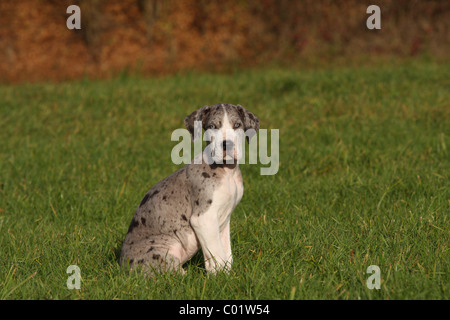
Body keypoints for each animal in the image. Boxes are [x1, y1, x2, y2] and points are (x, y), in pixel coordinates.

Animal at [118, 103, 260, 276]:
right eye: (212, 126)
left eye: (237, 125)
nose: (227, 144)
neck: (227, 172)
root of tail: (122, 267)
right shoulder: (204, 218)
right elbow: (218, 255)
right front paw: (221, 277)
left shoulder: (224, 220)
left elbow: (226, 253)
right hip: (164, 248)